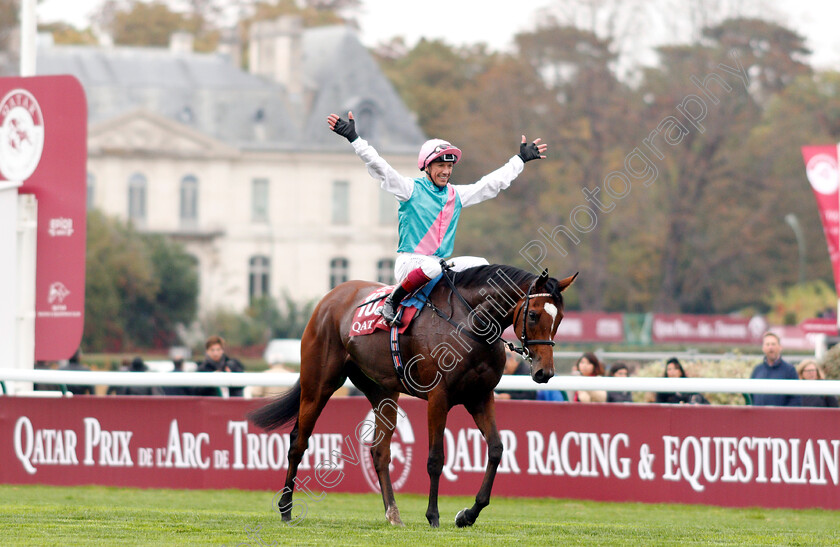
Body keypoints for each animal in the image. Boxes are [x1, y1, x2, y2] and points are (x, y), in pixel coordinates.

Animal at [249, 264, 576, 528]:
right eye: (533, 314)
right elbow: (435, 458)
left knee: (380, 452)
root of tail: (330, 297)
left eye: (559, 318)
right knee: (298, 442)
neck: (470, 322)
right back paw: (286, 508)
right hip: (319, 383)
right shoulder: (438, 397)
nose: (544, 372)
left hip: (383, 392)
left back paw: (393, 513)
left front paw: (468, 514)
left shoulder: (481, 396)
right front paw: (433, 515)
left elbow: (496, 449)